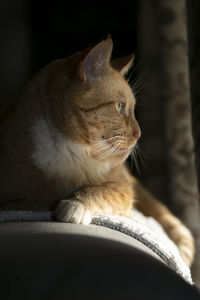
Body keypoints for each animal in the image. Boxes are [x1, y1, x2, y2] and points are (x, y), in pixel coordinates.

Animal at [0, 36, 195, 266]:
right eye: (120, 106)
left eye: (132, 108)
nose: (139, 134)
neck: (70, 154)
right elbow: (23, 202)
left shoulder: (121, 188)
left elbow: (99, 192)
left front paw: (76, 205)